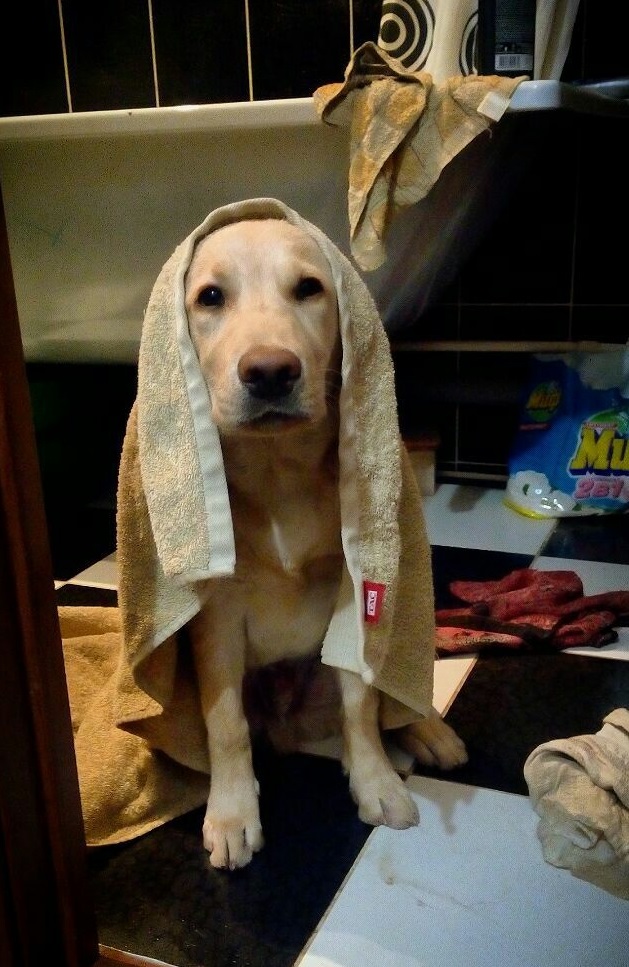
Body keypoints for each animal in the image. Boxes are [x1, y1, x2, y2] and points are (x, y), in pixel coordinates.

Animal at [183, 217, 466, 868]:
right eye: (210, 297)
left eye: (309, 289)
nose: (270, 372)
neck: (277, 470)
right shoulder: (216, 619)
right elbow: (225, 723)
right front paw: (232, 813)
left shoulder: (358, 591)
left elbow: (361, 705)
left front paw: (378, 783)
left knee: (392, 697)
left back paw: (430, 729)